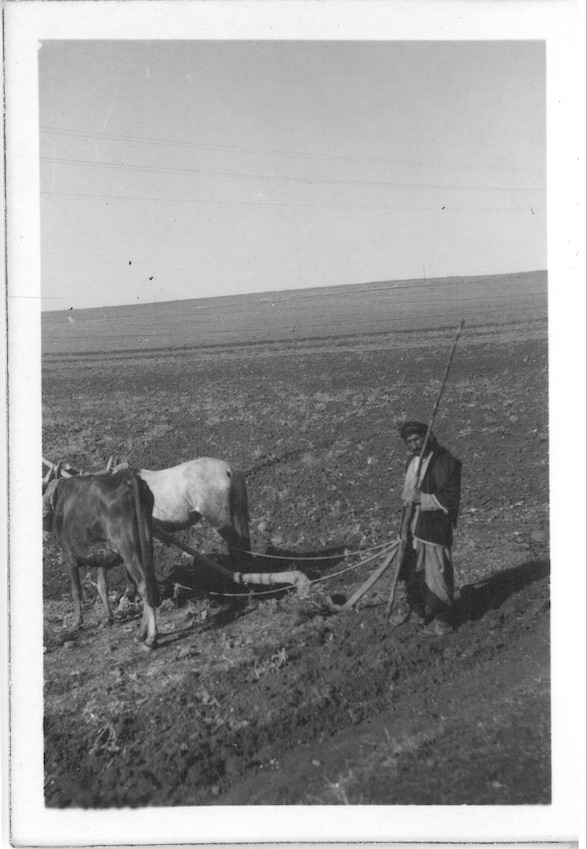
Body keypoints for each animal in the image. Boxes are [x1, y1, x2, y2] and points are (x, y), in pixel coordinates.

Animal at [43, 469, 159, 649]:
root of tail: (126, 476)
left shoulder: (69, 556)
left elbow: (76, 590)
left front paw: (76, 622)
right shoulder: (101, 554)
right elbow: (102, 585)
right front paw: (107, 619)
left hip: (127, 548)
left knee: (144, 585)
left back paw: (150, 638)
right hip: (146, 541)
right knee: (149, 582)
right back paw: (141, 633)